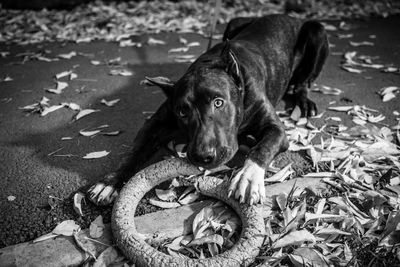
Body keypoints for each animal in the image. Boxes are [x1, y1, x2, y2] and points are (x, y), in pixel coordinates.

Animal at [88, 14, 328, 207]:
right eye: (182, 112)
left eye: (219, 103)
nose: (202, 156)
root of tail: (287, 16)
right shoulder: (156, 123)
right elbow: (134, 152)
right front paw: (110, 182)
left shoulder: (276, 129)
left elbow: (262, 148)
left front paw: (248, 177)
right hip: (234, 22)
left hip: (317, 31)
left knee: (304, 82)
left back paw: (304, 101)